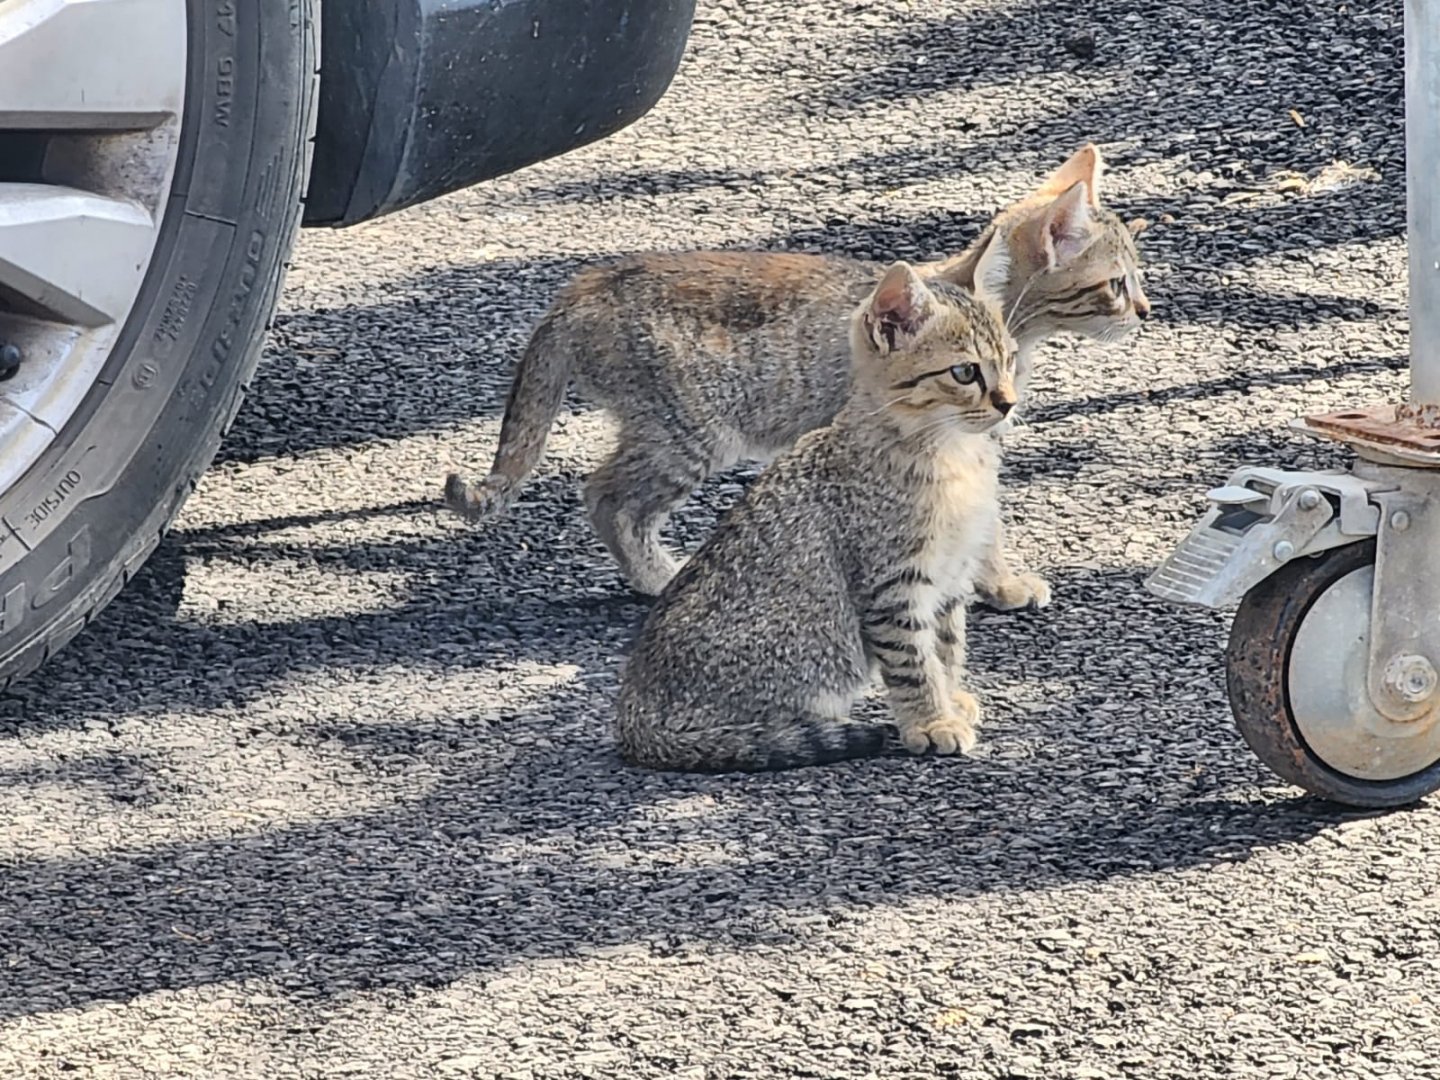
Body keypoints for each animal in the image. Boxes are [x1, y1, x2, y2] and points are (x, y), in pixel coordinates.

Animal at [445, 144, 1150, 602]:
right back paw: (658, 578)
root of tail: (582, 287)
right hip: (691, 433)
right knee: (606, 497)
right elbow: (984, 526)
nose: (1145, 310)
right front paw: (1000, 583)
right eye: (1118, 283)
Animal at [615, 245, 1017, 772]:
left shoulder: (952, 578)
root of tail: (632, 717)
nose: (1009, 402)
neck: (953, 461)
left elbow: (947, 650)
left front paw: (950, 700)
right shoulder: (894, 586)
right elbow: (914, 663)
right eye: (965, 372)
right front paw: (930, 722)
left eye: (1010, 359)